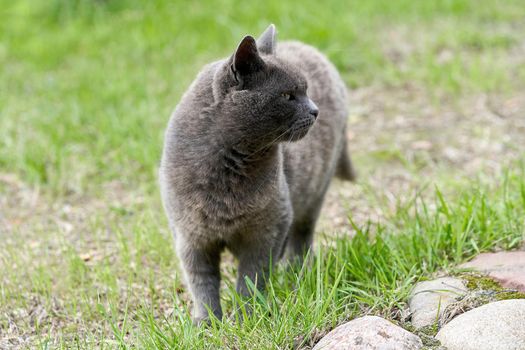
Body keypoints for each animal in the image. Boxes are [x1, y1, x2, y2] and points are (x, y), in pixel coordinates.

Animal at [160, 24, 354, 324]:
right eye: (287, 95)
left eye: (305, 90)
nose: (315, 110)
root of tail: (311, 49)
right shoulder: (191, 236)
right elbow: (202, 282)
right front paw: (207, 323)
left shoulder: (268, 228)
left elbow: (252, 277)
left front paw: (247, 318)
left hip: (314, 193)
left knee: (301, 237)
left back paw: (295, 274)